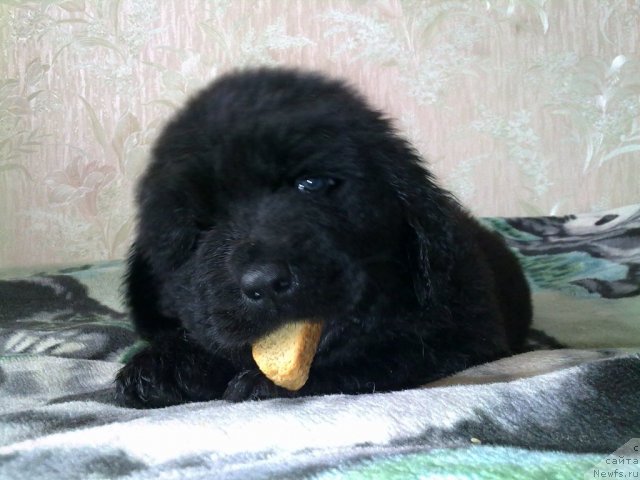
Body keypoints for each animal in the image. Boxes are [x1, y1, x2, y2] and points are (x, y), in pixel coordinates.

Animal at [114, 65, 528, 406]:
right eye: (199, 225)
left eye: (310, 184)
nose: (265, 282)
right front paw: (163, 367)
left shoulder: (464, 336)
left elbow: (391, 355)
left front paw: (263, 383)